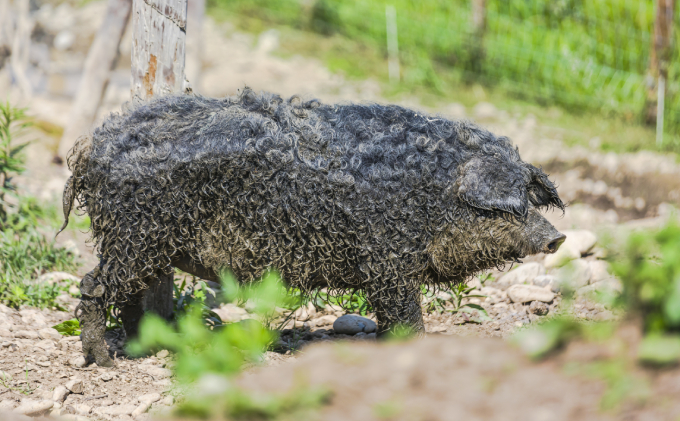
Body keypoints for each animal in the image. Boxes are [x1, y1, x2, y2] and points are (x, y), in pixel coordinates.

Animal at [62, 88, 564, 364]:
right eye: (506, 205)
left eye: (528, 195)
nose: (556, 236)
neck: (431, 193)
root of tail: (92, 145)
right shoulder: (389, 260)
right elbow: (405, 315)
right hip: (133, 235)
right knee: (93, 285)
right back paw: (104, 363)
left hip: (145, 244)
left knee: (126, 296)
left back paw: (143, 349)